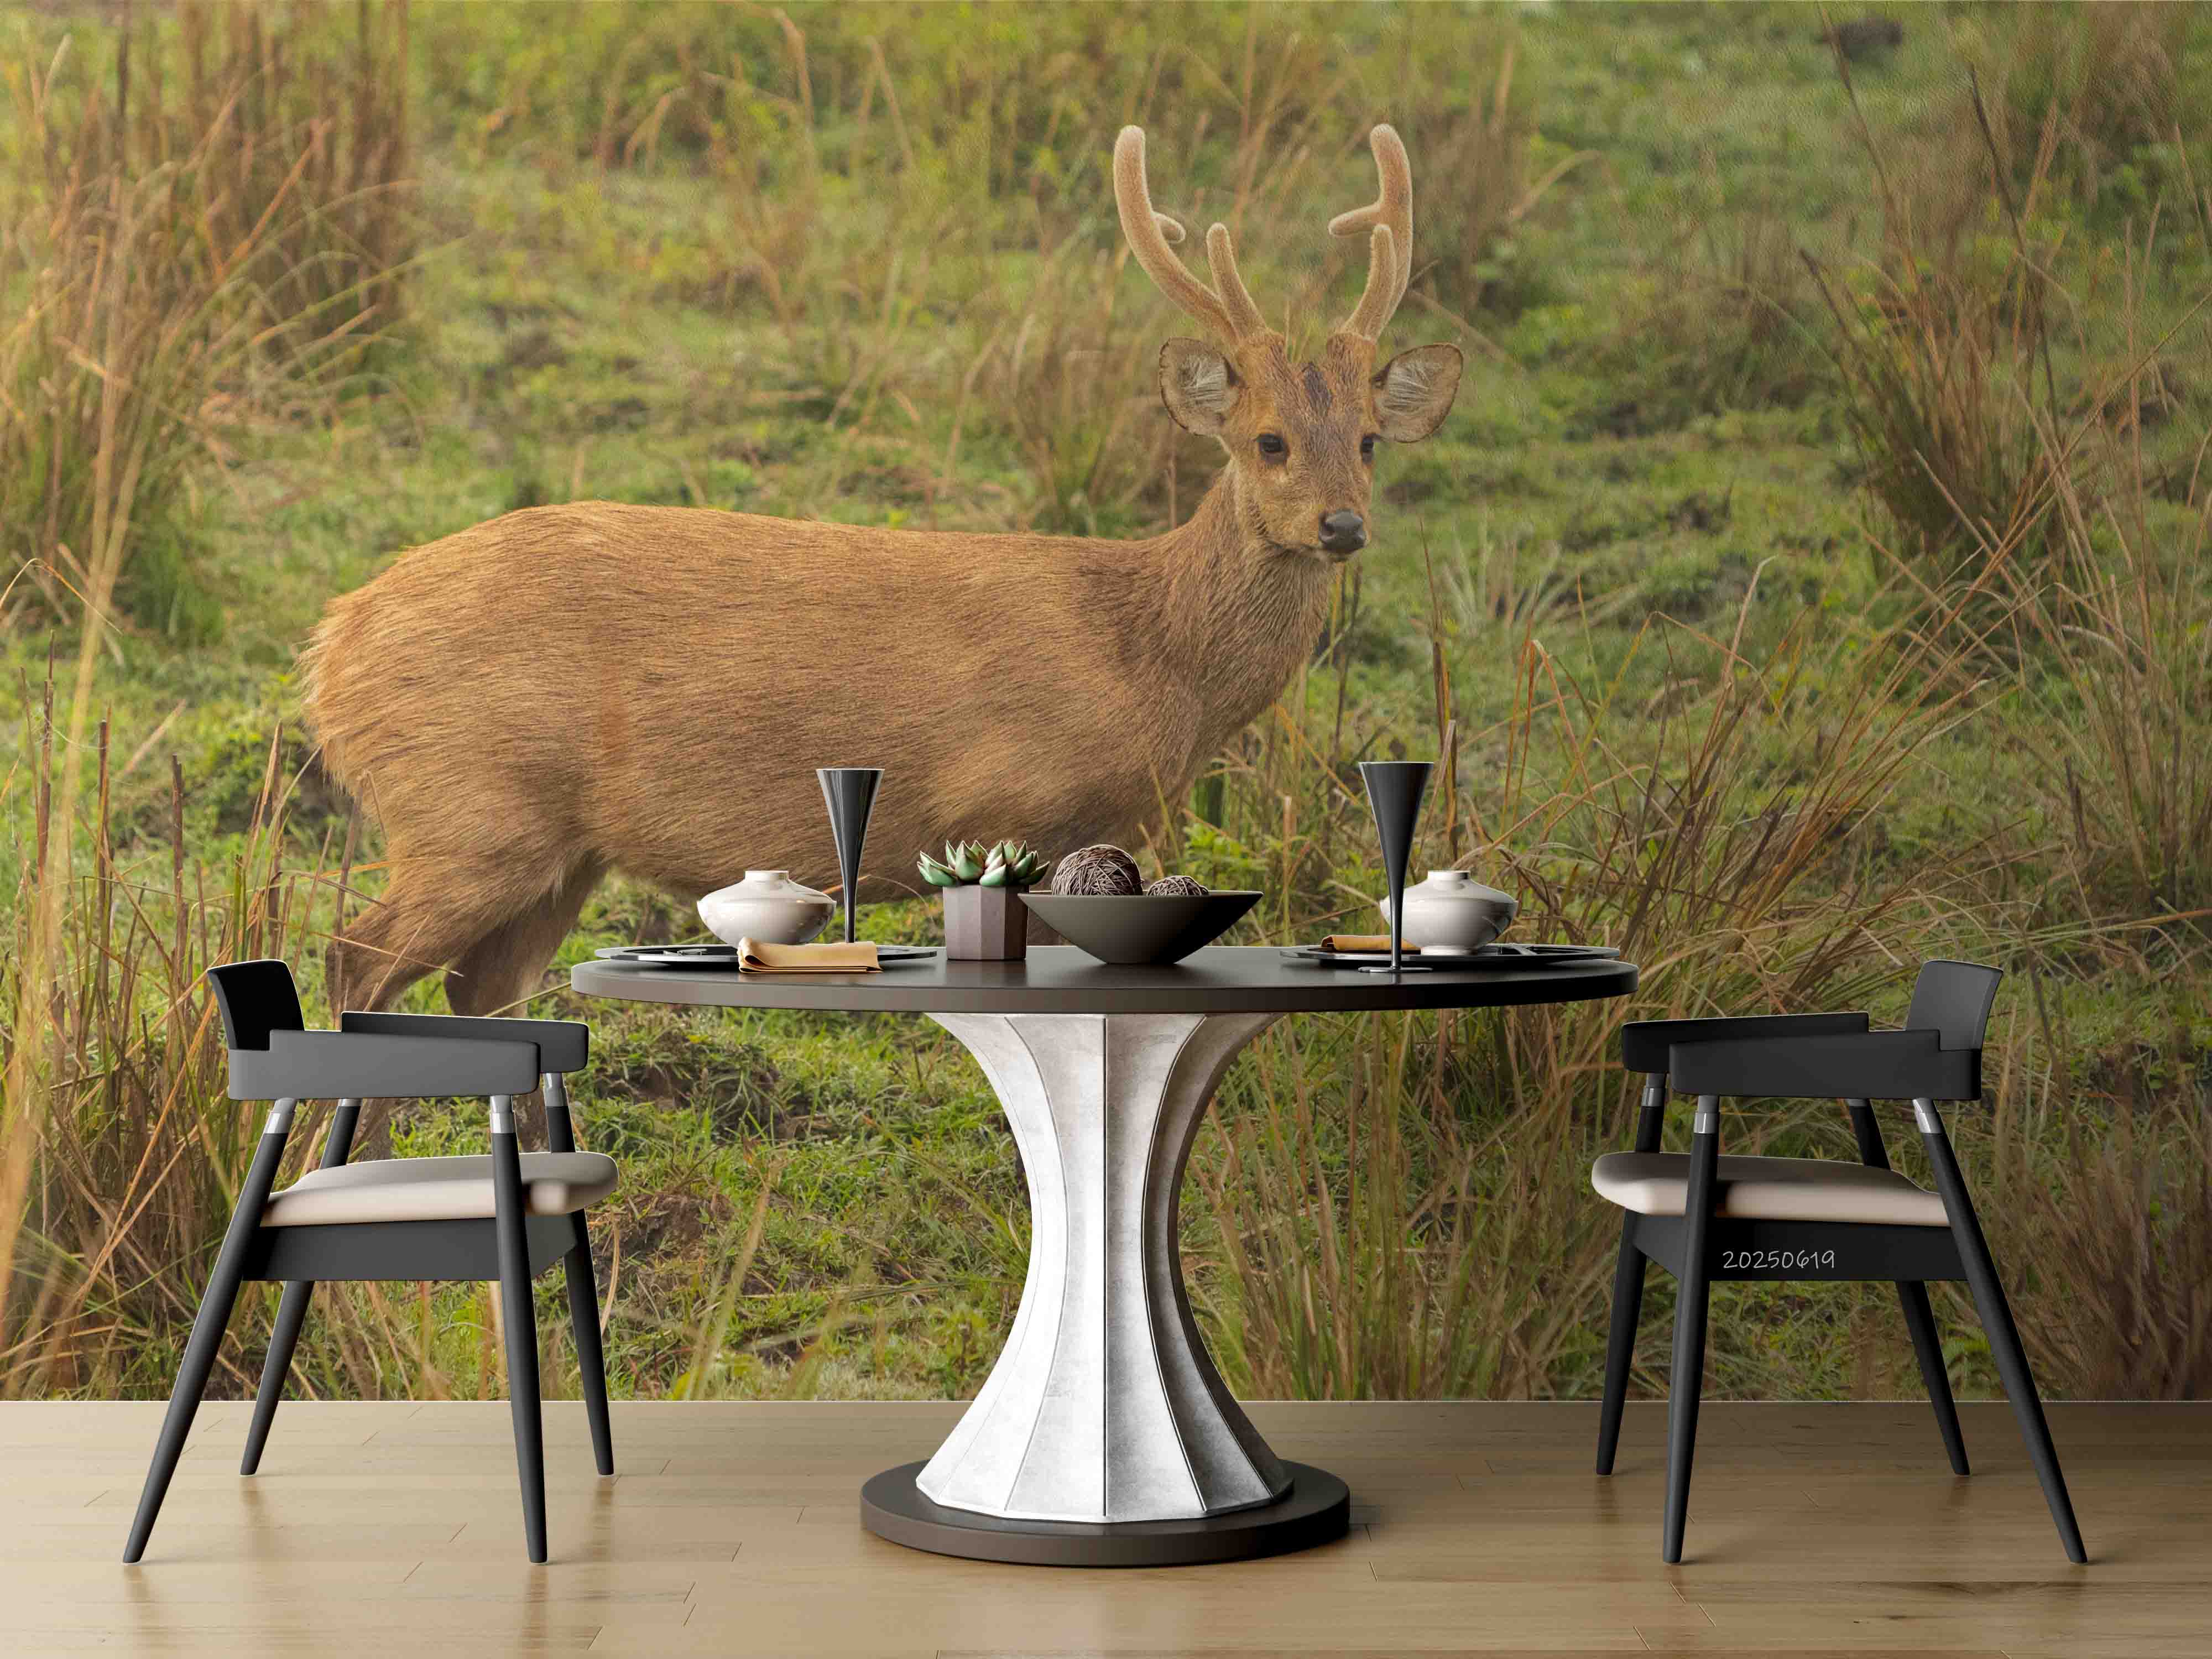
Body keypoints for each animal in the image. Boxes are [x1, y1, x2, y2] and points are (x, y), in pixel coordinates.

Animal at [305, 124, 1462, 1017]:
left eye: (1368, 440)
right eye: (1268, 441)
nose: (1342, 525)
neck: (1146, 658)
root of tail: (332, 643)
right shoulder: (1010, 802)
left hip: (551, 851)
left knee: (473, 992)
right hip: (468, 805)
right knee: (356, 958)